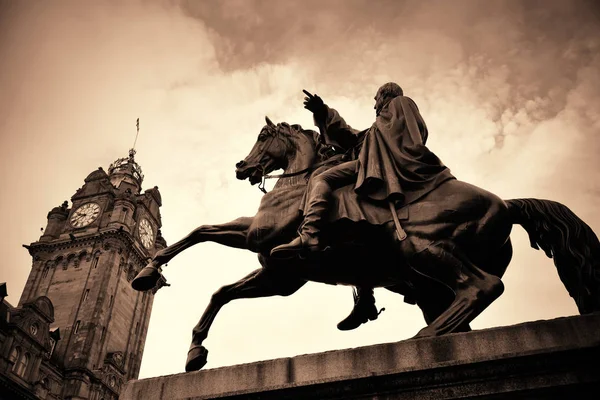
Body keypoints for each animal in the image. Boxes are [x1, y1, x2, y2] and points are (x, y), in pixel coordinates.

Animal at [131, 117, 600, 374]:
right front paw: (194, 350)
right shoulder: (280, 276)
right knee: (469, 303)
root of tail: (506, 203)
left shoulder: (259, 238)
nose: (241, 167)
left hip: (423, 250)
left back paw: (425, 336)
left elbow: (202, 231)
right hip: (428, 283)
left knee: (483, 287)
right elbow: (220, 290)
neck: (299, 183)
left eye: (264, 135)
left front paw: (148, 270)